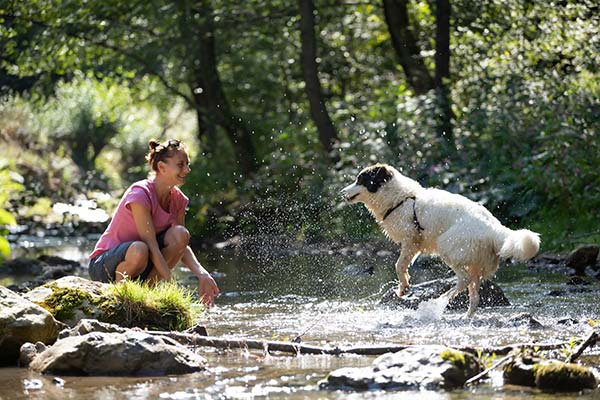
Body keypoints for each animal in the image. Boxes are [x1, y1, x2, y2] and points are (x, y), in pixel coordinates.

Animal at [340, 163, 540, 316]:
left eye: (360, 180)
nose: (342, 192)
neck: (400, 199)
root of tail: (494, 228)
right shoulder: (414, 245)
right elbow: (403, 265)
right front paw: (405, 285)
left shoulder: (410, 240)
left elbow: (398, 265)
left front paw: (403, 287)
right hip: (476, 264)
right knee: (474, 295)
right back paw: (465, 316)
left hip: (448, 247)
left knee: (464, 279)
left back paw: (440, 300)